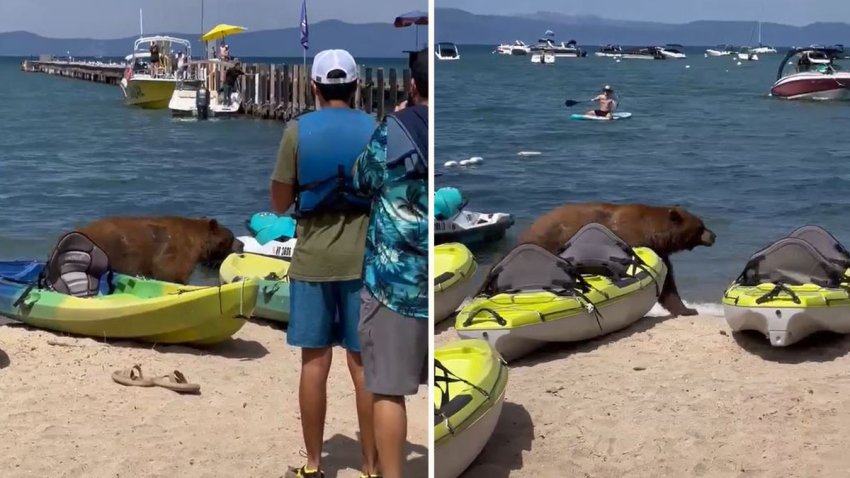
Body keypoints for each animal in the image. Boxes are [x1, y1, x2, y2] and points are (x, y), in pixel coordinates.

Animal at [516, 202, 716, 318]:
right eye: (701, 227)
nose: (713, 235)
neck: (651, 233)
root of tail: (528, 229)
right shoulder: (629, 240)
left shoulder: (658, 252)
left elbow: (668, 284)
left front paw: (687, 309)